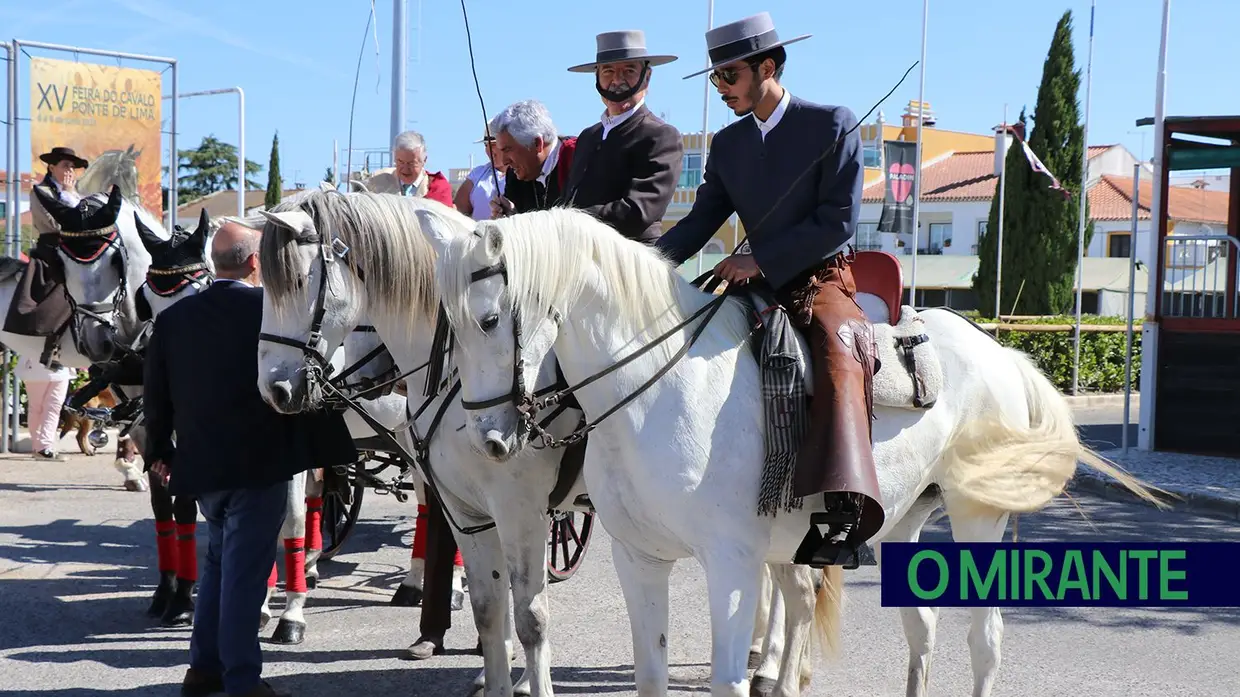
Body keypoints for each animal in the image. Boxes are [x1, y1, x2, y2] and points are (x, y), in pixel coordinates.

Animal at [416, 207, 1160, 697]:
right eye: (448, 325)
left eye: (489, 318)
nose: (489, 439)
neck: (655, 386)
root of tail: (998, 349)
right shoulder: (639, 558)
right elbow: (650, 672)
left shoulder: (732, 564)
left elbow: (728, 677)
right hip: (907, 521)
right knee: (922, 629)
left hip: (977, 518)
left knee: (985, 640)